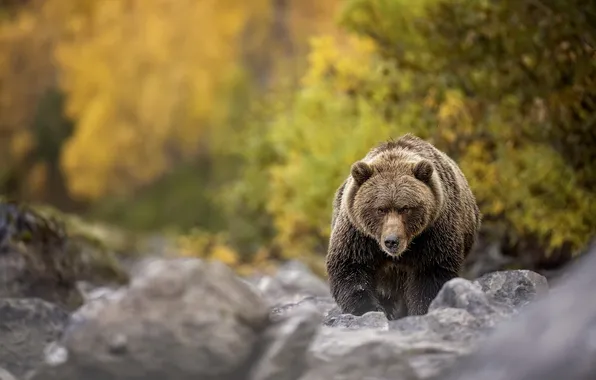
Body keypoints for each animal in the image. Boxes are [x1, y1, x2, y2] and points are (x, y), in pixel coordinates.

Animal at [326, 132, 480, 320]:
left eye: (405, 208)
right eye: (380, 209)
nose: (392, 241)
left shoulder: (434, 232)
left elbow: (431, 274)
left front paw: (421, 309)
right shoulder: (358, 234)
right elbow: (350, 268)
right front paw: (370, 308)